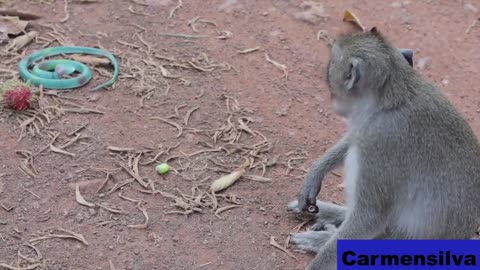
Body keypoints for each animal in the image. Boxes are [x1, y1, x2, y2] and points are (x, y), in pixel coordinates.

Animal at [286, 28, 480, 270]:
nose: (332, 98)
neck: (393, 98)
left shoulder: (380, 140)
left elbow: (371, 217)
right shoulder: (367, 126)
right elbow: (353, 138)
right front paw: (316, 173)